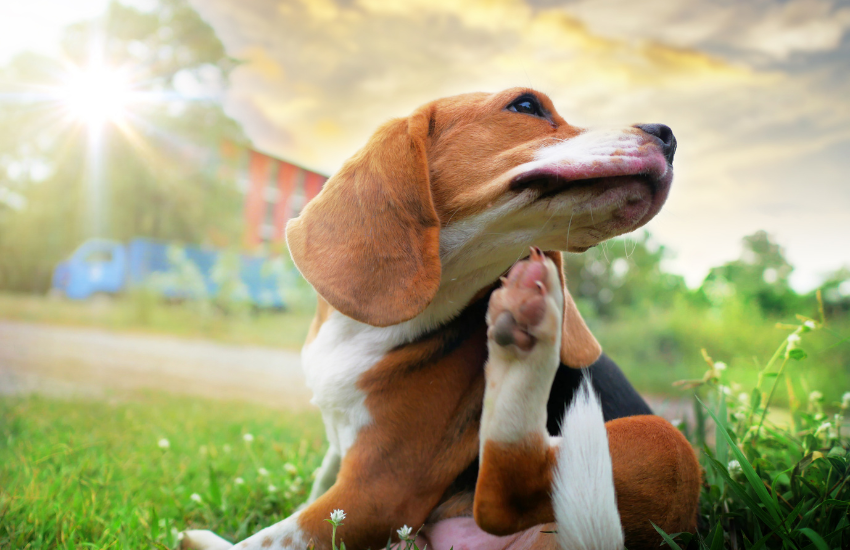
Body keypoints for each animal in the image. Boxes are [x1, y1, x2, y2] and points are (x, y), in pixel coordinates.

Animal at [182, 88, 700, 550]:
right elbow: (315, 487)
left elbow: (268, 539)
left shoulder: (376, 493)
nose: (670, 135)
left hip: (664, 440)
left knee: (505, 497)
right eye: (526, 105)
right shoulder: (340, 458)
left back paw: (528, 344)